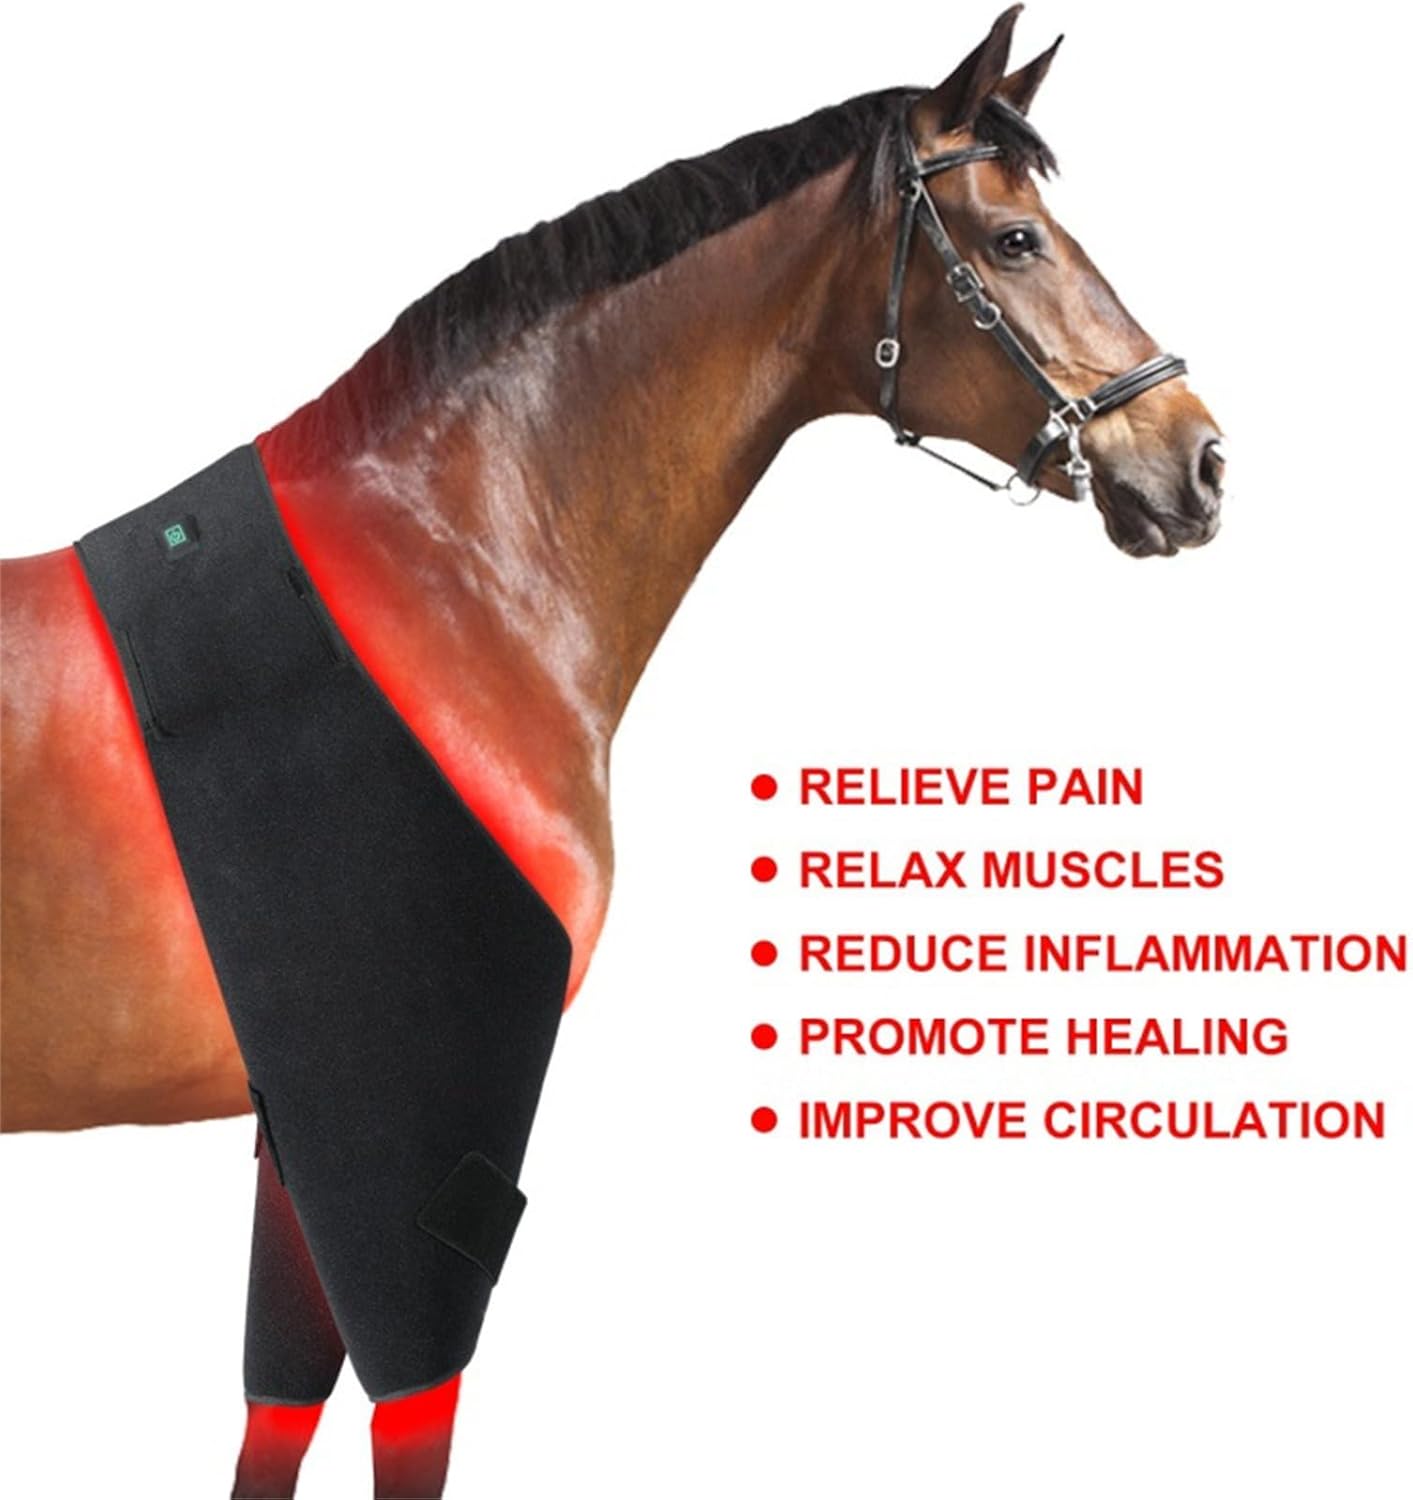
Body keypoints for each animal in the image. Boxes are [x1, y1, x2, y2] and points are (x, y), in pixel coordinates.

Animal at [0, 8, 1222, 1495]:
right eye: (1015, 242)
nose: (1200, 460)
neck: (456, 561)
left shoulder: (302, 1128)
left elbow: (273, 1408)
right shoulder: (419, 1125)